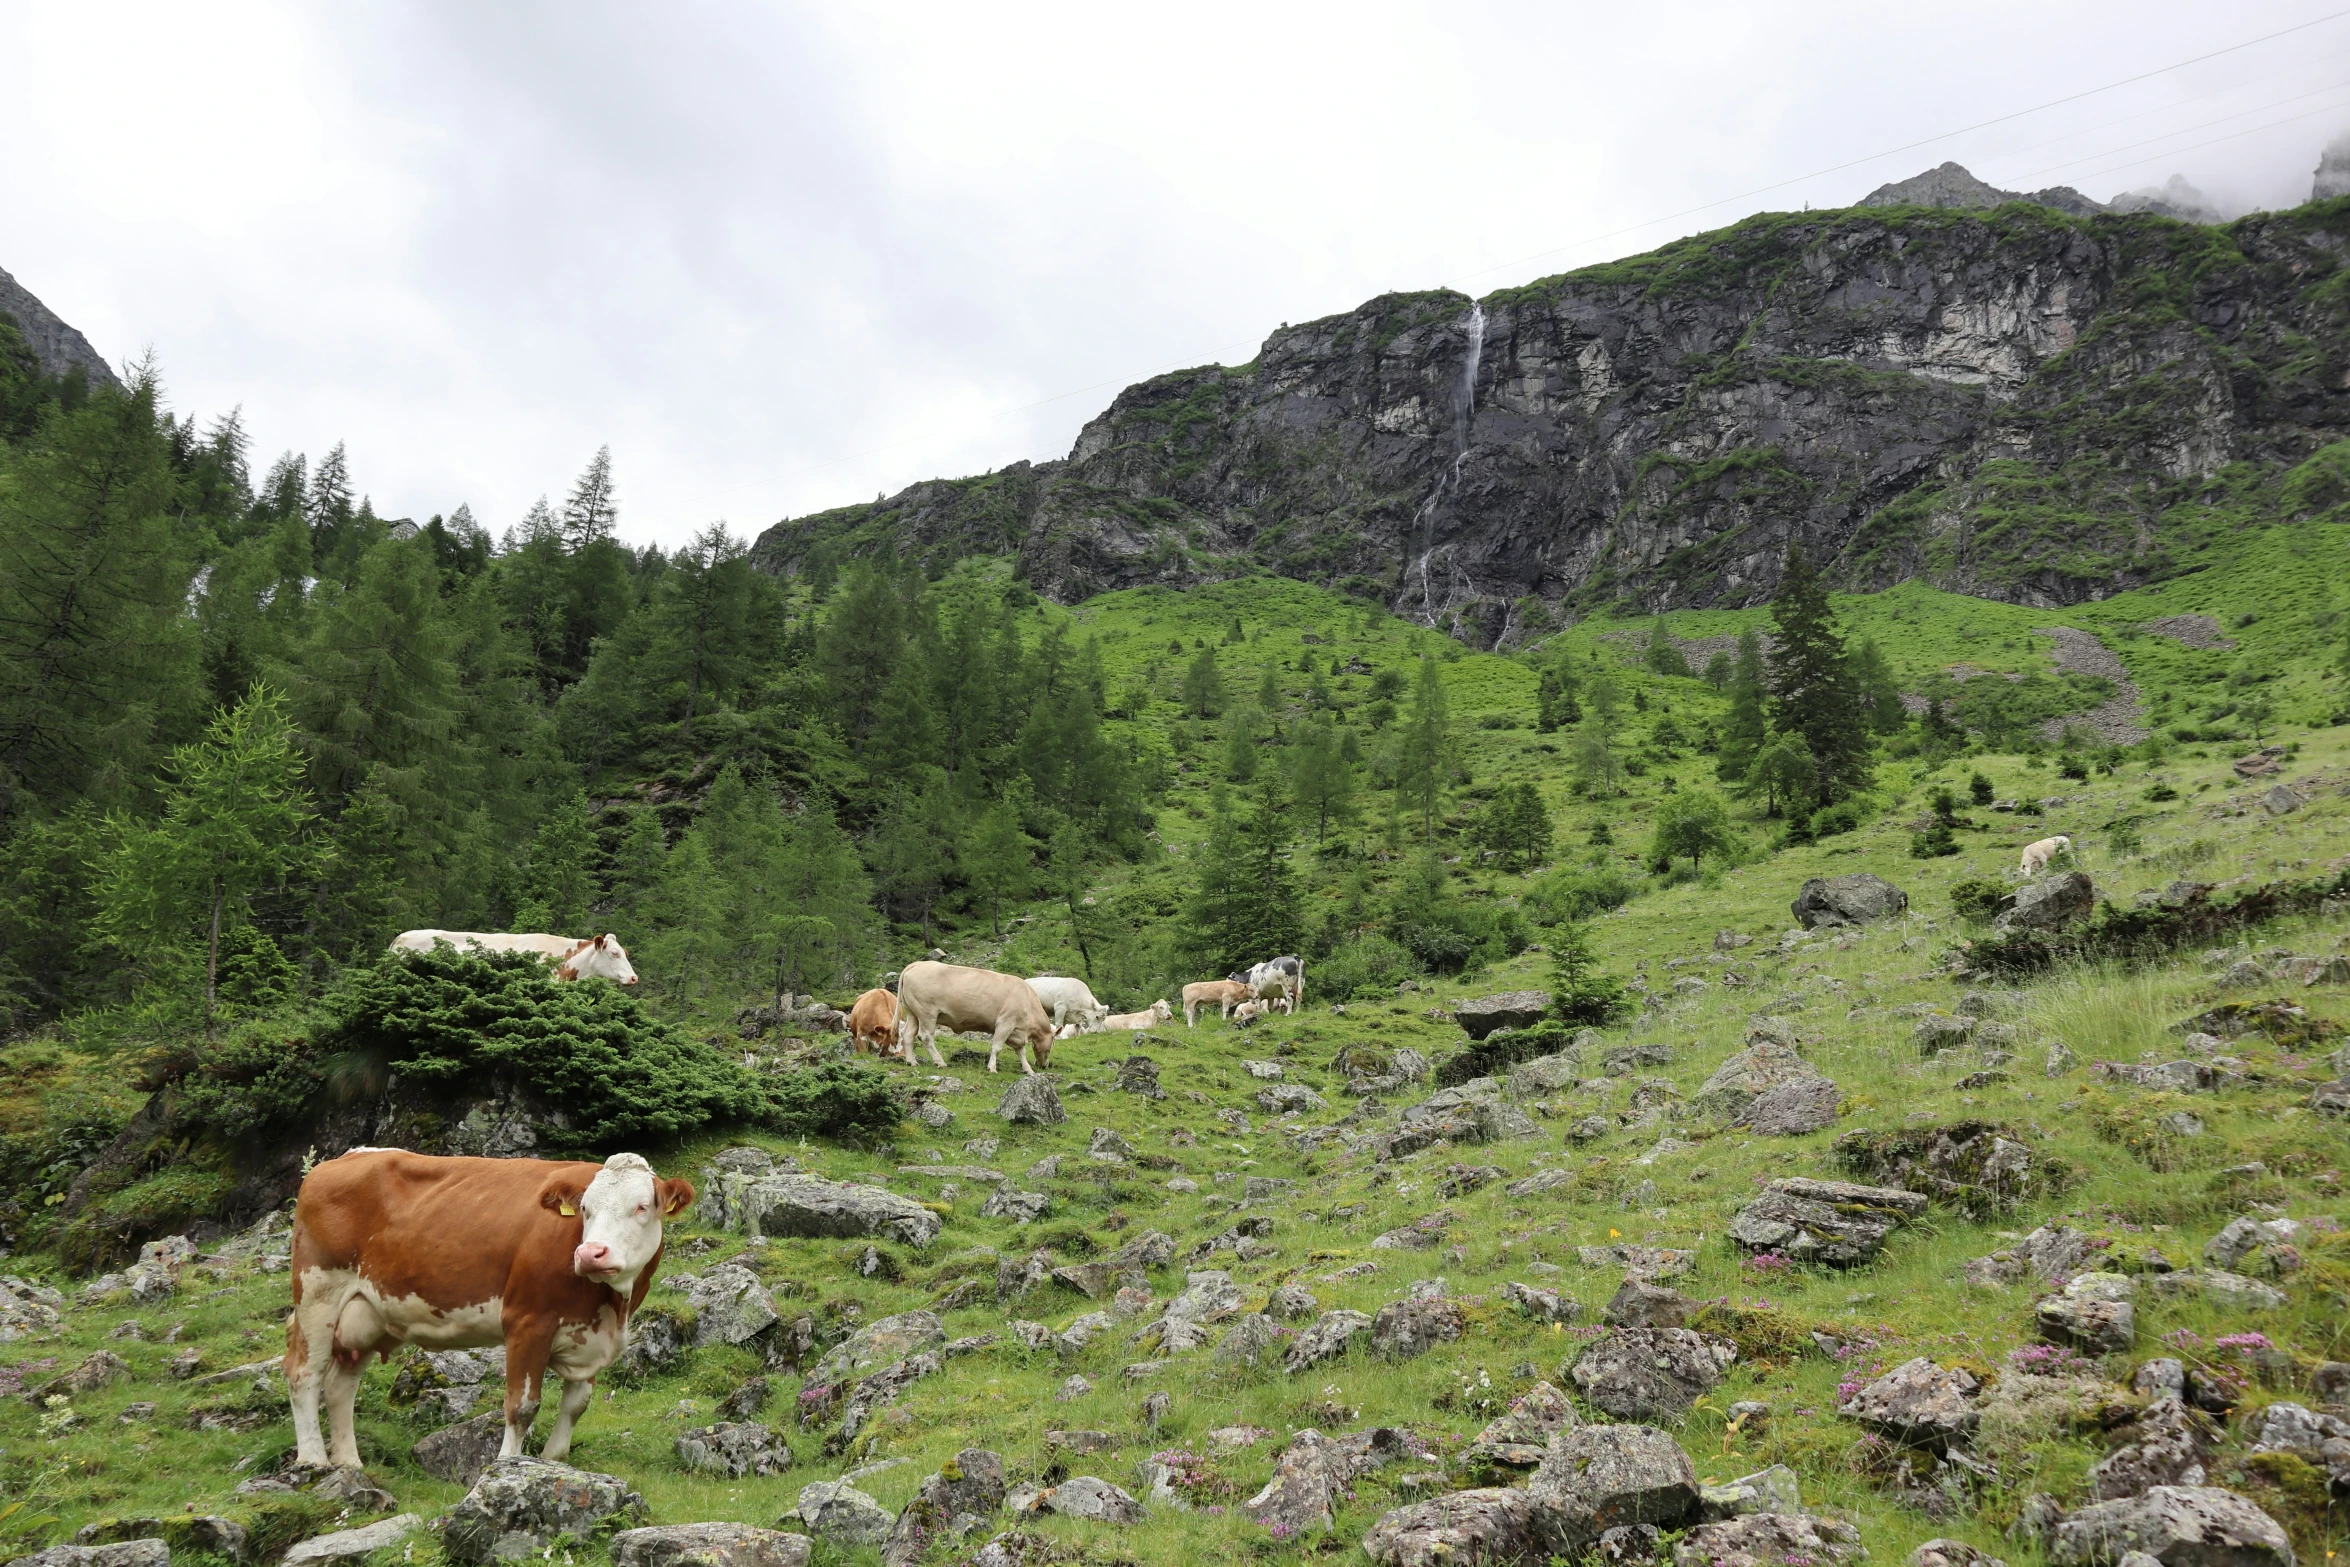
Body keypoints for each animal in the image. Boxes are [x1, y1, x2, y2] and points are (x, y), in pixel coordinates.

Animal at [282, 1151, 686, 1475]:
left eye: (641, 1207)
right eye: (585, 1209)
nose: (590, 1253)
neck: (611, 1307)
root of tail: (339, 1161)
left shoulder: (592, 1337)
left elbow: (576, 1406)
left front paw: (553, 1461)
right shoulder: (527, 1322)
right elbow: (522, 1407)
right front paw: (508, 1466)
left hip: (367, 1314)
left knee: (341, 1384)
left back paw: (348, 1462)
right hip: (318, 1293)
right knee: (304, 1373)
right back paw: (313, 1459)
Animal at [897, 958, 1057, 1080]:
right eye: (1052, 1045)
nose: (1045, 1065)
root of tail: (918, 964)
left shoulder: (1017, 1031)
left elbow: (1021, 1052)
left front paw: (1028, 1069)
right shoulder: (1005, 1023)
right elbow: (997, 1047)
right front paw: (992, 1068)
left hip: (913, 1013)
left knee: (908, 1034)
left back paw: (912, 1061)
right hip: (927, 1013)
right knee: (926, 1036)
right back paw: (940, 1062)